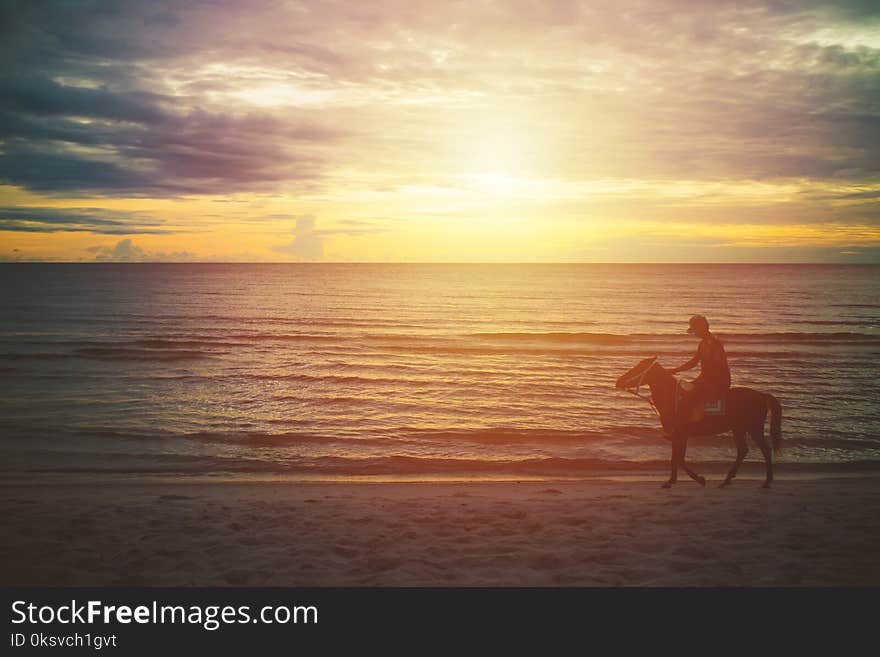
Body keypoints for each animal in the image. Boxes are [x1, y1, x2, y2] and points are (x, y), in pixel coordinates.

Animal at [616, 354, 780, 486]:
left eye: (639, 368)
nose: (619, 381)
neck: (674, 398)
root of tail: (761, 395)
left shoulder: (681, 434)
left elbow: (679, 459)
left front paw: (698, 479)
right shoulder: (677, 436)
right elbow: (676, 458)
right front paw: (672, 480)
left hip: (753, 427)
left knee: (764, 449)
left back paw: (766, 481)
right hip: (738, 428)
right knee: (743, 450)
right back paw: (727, 480)